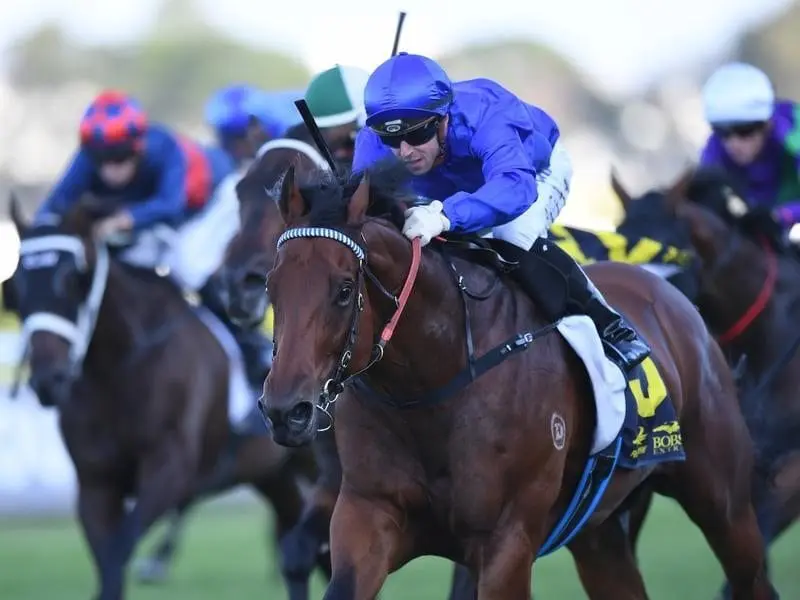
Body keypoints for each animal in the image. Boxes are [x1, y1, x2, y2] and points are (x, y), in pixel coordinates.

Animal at [5, 198, 312, 600]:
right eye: (17, 286)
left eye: (73, 278)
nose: (48, 379)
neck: (116, 369)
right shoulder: (95, 483)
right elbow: (108, 562)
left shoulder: (169, 469)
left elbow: (117, 552)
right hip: (275, 474)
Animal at [264, 162, 780, 600]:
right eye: (272, 286)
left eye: (344, 289)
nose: (284, 412)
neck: (432, 386)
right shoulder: (367, 514)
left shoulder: (506, 540)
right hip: (598, 531)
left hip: (724, 503)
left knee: (751, 577)